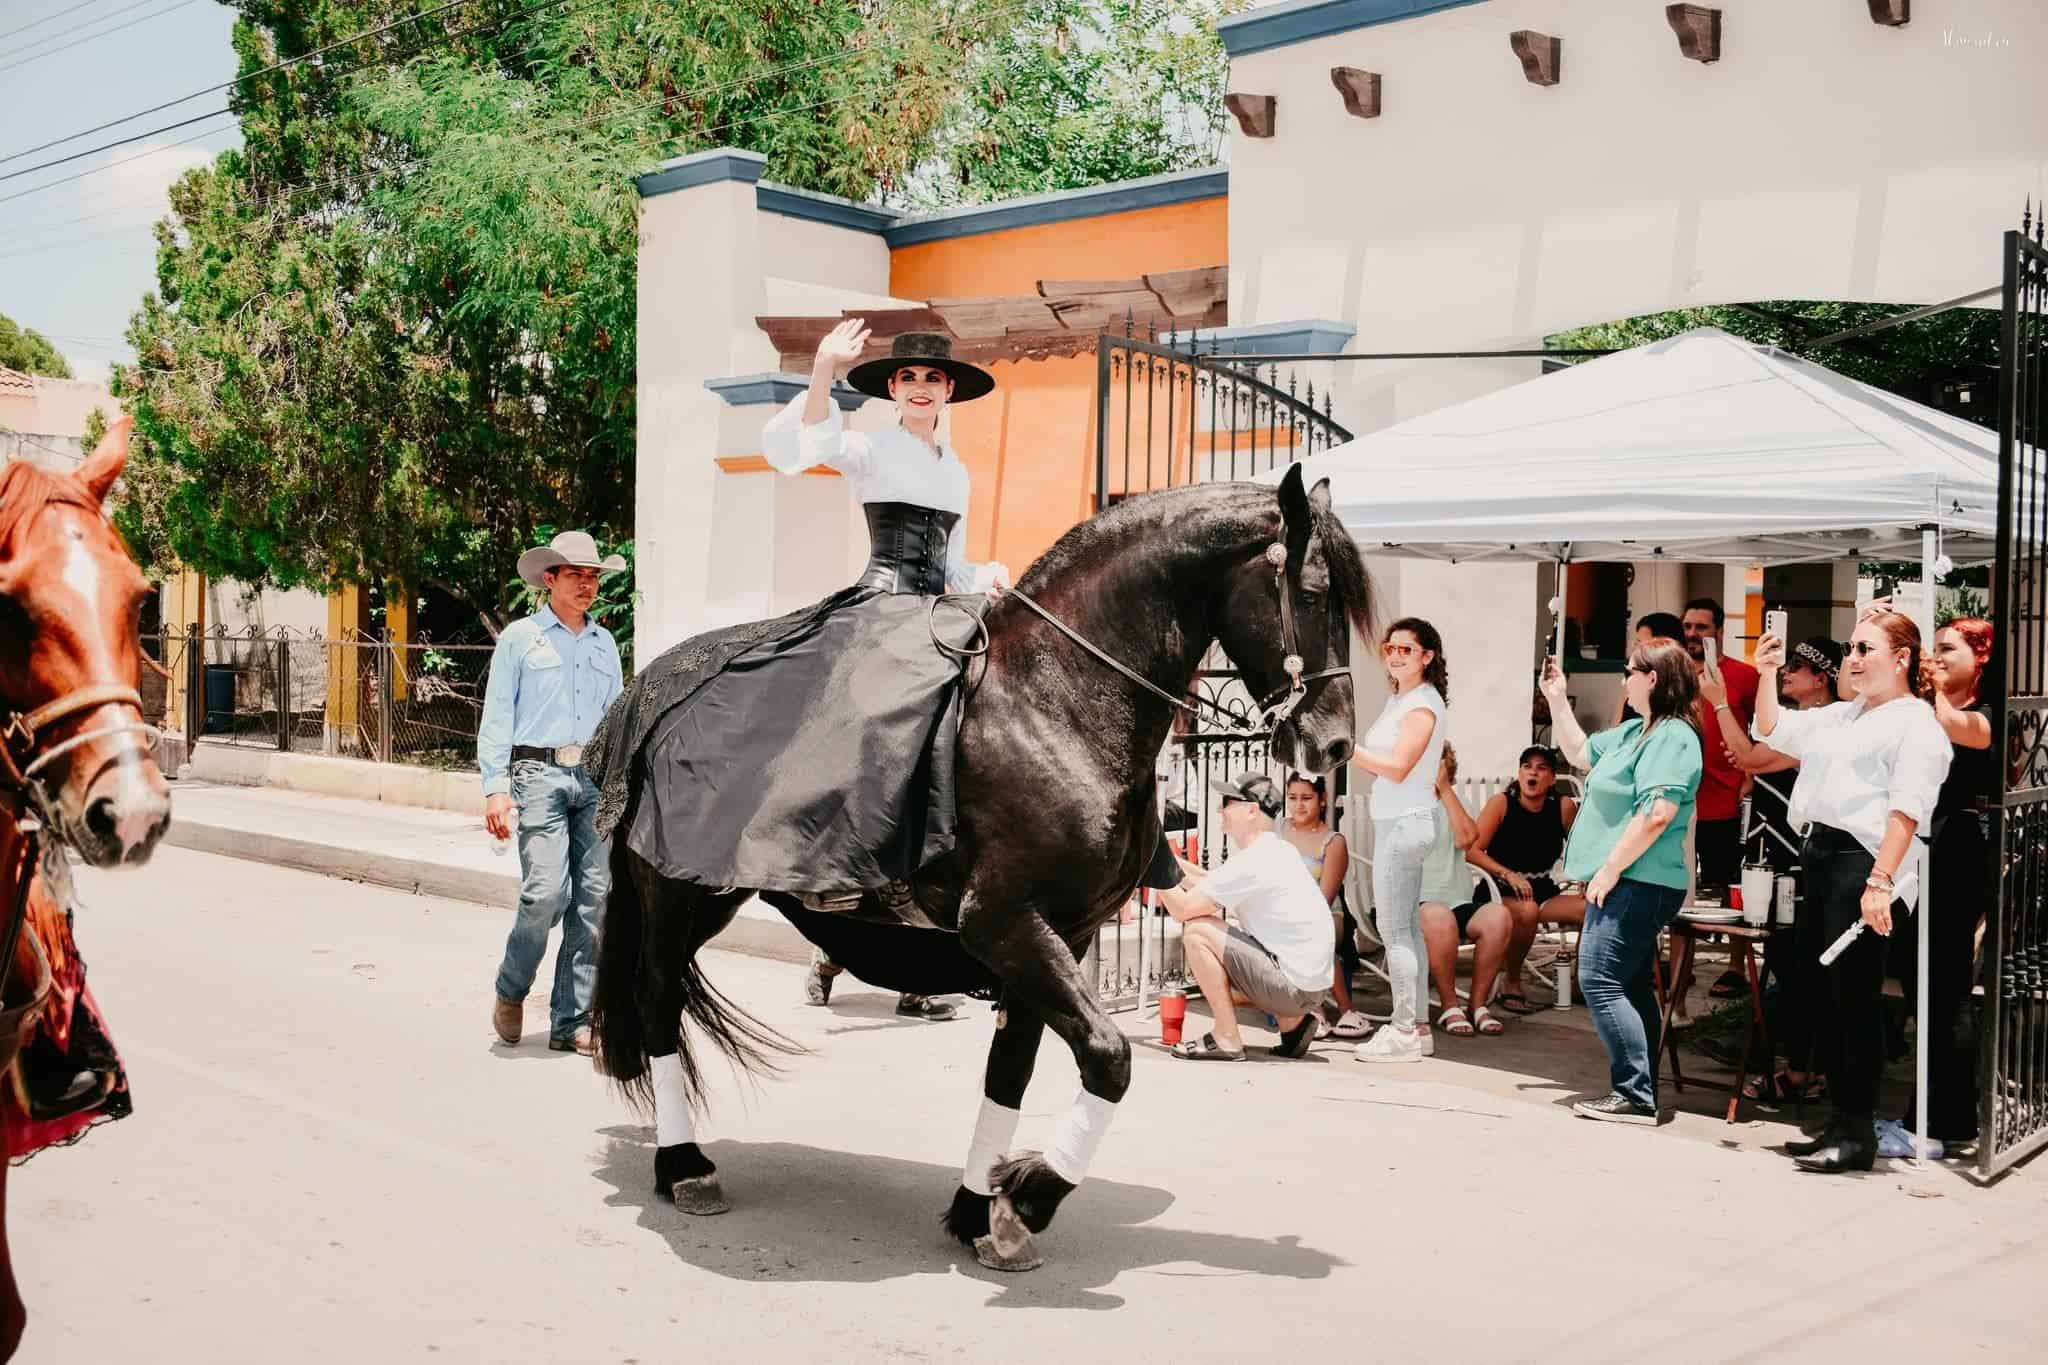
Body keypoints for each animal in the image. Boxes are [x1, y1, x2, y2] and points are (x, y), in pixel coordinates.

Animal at [585, 466, 1368, 1268]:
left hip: (712, 895)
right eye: (1313, 592)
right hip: (671, 891)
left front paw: (978, 1210)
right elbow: (1109, 1056)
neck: (1058, 699)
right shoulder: (1003, 923)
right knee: (656, 1002)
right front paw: (1028, 1197)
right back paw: (683, 1166)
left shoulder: (1061, 933)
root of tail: (648, 687)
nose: (1337, 744)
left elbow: (1012, 1068)